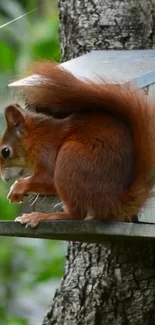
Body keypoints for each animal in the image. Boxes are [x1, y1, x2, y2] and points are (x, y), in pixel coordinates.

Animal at [0, 61, 155, 228]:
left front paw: (18, 188)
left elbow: (48, 178)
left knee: (76, 214)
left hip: (70, 159)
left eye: (5, 151)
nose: (3, 178)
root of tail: (114, 202)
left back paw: (42, 216)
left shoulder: (46, 150)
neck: (36, 137)